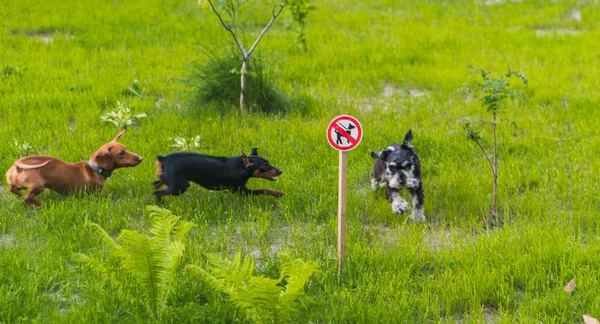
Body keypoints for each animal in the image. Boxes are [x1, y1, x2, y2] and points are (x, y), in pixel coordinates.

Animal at [152, 148, 284, 199]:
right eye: (264, 166)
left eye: (269, 163)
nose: (280, 171)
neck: (241, 166)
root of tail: (163, 159)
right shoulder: (241, 191)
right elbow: (264, 189)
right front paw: (277, 193)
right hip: (180, 187)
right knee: (157, 192)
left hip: (172, 181)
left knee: (156, 183)